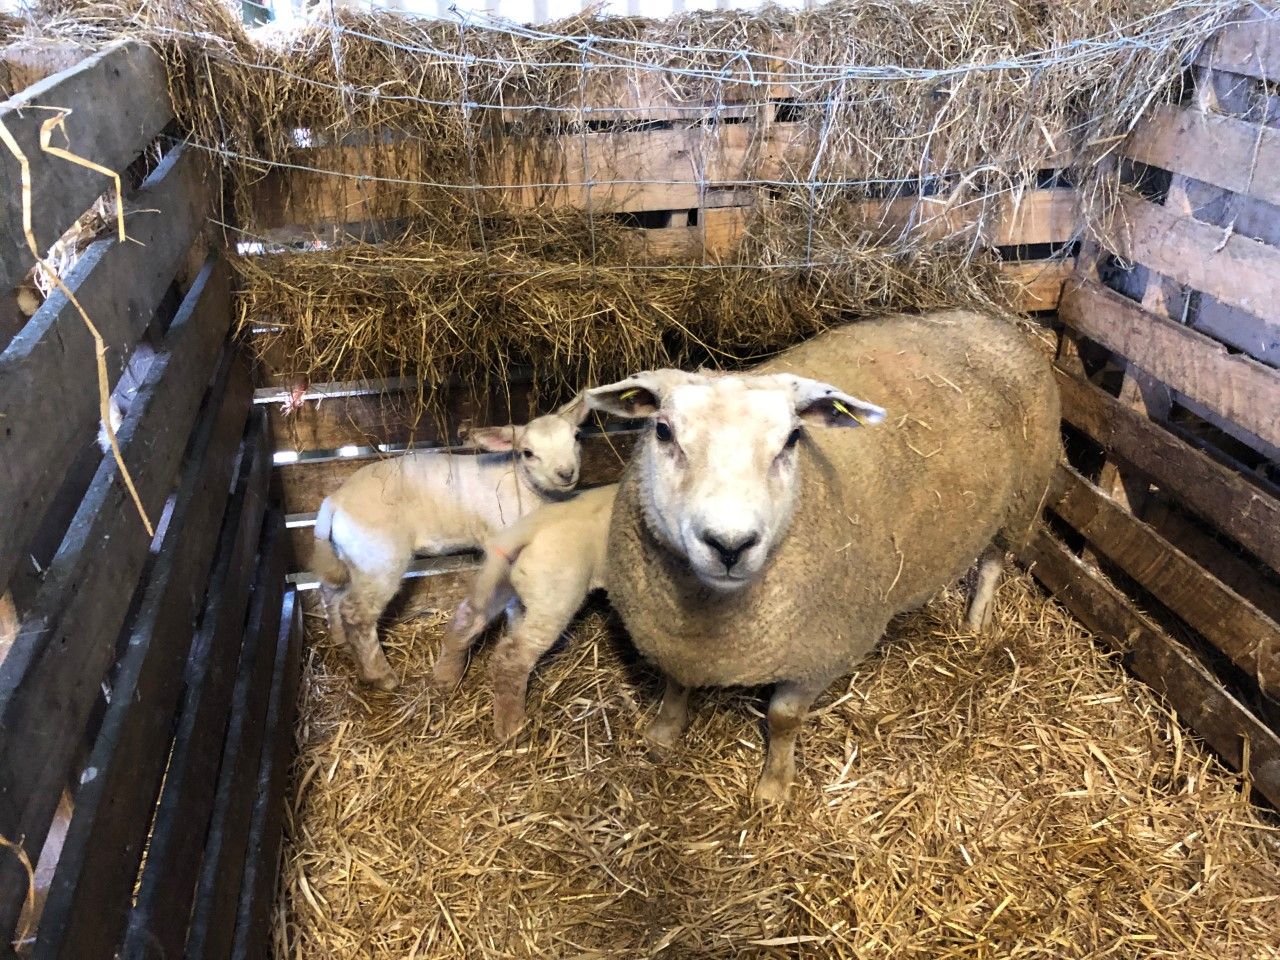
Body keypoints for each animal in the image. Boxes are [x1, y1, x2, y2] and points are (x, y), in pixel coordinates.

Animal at [312, 396, 590, 691]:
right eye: (527, 452)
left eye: (576, 436)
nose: (566, 473)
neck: (524, 484)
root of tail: (335, 500)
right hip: (379, 558)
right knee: (357, 613)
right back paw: (381, 676)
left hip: (350, 557)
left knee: (331, 592)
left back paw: (340, 640)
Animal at [431, 483, 617, 740]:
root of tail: (527, 530)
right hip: (555, 595)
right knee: (511, 657)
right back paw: (511, 727)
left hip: (502, 583)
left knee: (468, 617)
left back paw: (446, 677)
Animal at [587, 309, 1061, 803]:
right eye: (663, 431)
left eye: (793, 438)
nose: (730, 543)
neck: (711, 617)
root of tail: (992, 319)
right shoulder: (670, 635)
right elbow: (675, 683)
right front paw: (661, 735)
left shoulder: (822, 653)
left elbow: (783, 718)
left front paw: (774, 788)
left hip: (1023, 501)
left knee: (992, 563)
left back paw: (976, 622)